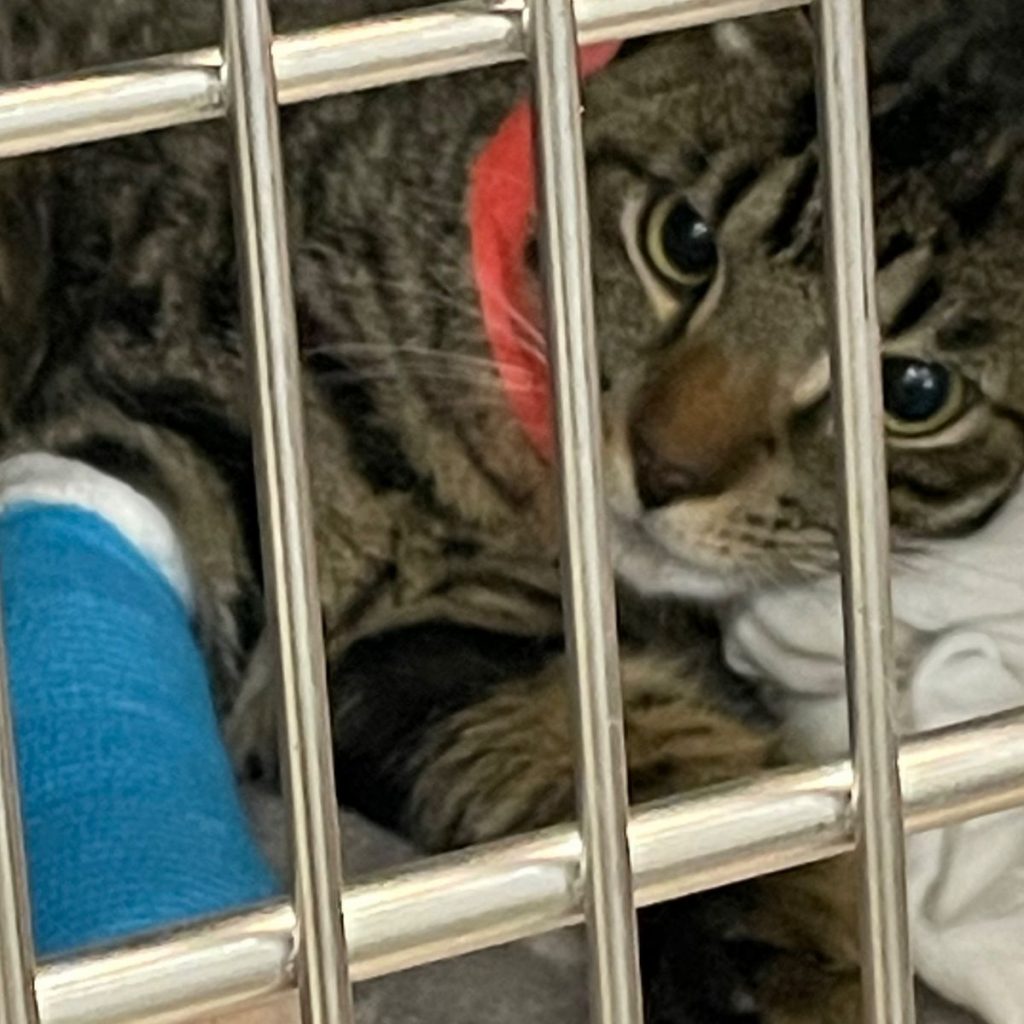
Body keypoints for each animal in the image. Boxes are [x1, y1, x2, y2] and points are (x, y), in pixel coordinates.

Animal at [2, 0, 1024, 1019]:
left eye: (915, 391)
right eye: (684, 241)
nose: (664, 467)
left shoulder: (423, 650)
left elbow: (639, 769)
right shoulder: (170, 437)